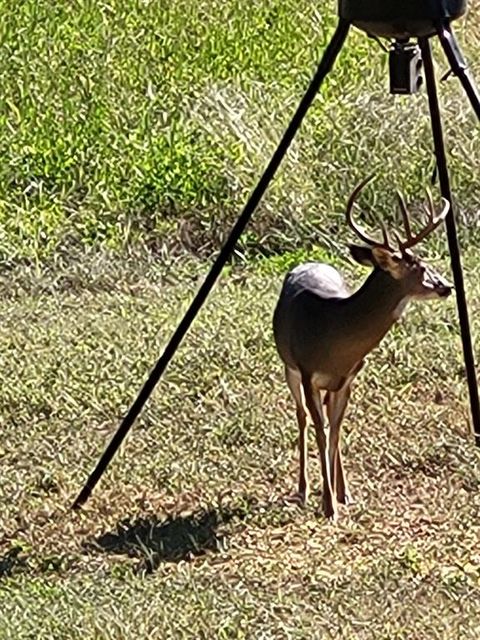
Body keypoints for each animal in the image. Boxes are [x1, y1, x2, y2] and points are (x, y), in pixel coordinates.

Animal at [274, 176, 454, 520]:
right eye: (420, 268)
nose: (446, 286)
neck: (335, 335)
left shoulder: (349, 377)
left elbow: (335, 430)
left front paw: (338, 495)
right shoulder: (307, 372)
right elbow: (320, 431)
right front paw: (327, 504)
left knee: (330, 422)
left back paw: (340, 489)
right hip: (289, 368)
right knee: (301, 417)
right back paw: (303, 489)